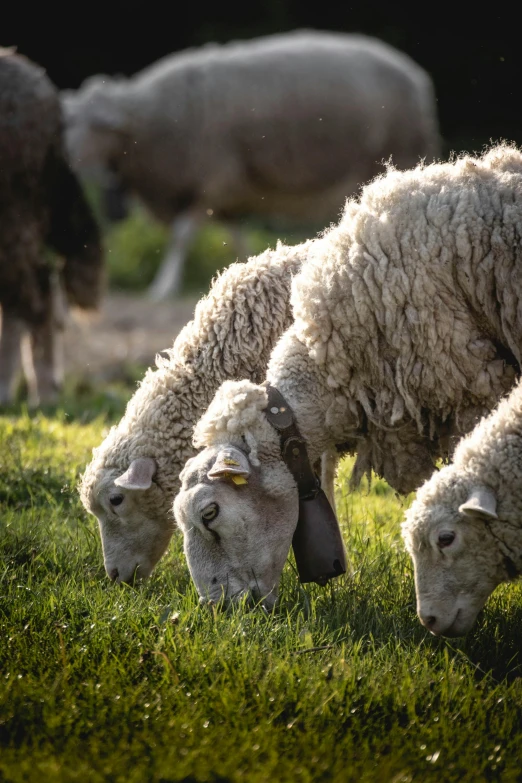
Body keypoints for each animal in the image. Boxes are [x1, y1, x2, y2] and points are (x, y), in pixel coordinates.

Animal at [60, 29, 434, 300]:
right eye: (68, 121)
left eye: (93, 125)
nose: (65, 158)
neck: (150, 121)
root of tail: (415, 75)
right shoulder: (226, 191)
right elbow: (236, 235)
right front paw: (249, 267)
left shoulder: (214, 177)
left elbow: (181, 237)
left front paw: (162, 287)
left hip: (398, 152)